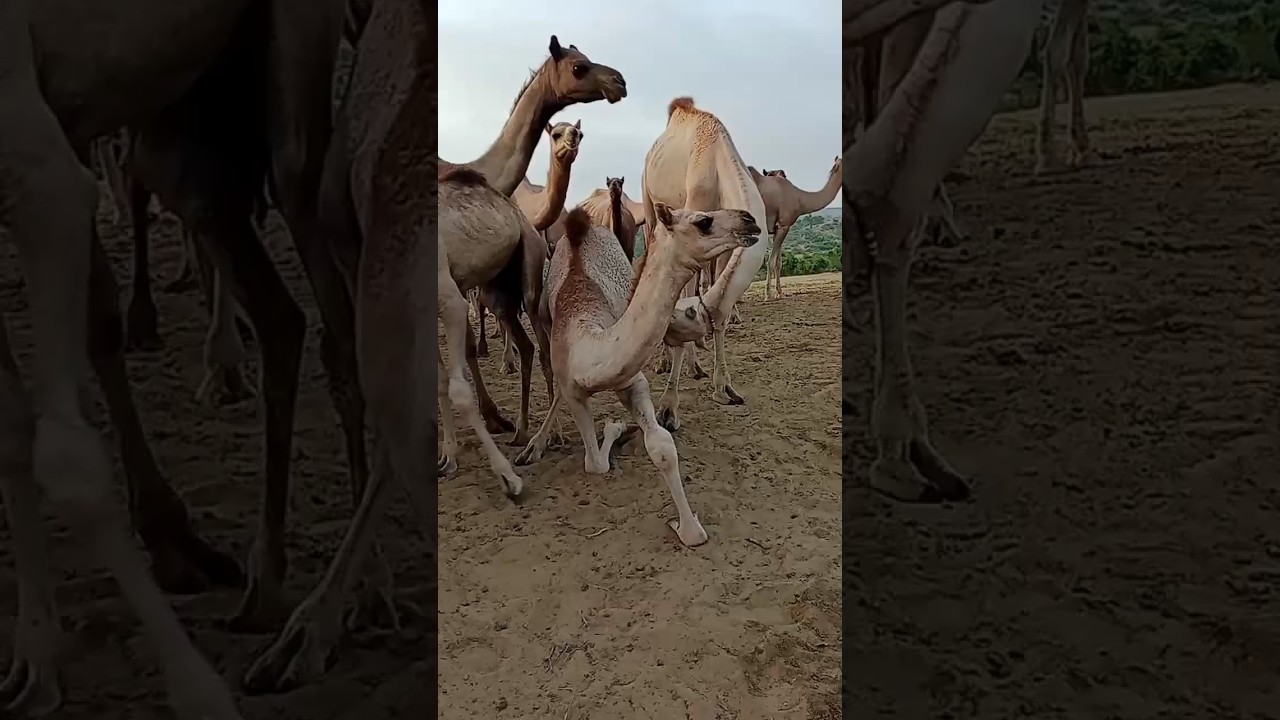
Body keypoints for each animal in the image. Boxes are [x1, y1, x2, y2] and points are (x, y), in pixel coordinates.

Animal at [242, 20, 626, 692]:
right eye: (578, 67)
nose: (618, 81)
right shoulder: (449, 286)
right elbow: (459, 375)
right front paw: (488, 457)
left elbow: (457, 374)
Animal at [514, 204, 762, 547]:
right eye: (704, 221)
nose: (750, 220)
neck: (586, 341)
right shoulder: (574, 389)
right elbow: (595, 463)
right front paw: (614, 426)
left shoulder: (632, 379)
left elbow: (661, 446)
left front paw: (687, 527)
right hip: (544, 321)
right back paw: (533, 446)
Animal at [639, 97, 770, 431]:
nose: (672, 339)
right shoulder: (691, 223)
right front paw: (669, 407)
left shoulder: (727, 242)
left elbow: (719, 300)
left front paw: (724, 388)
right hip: (649, 204)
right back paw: (665, 363)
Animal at [746, 156, 843, 300]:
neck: (799, 198)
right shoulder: (784, 225)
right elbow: (771, 261)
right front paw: (768, 295)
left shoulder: (778, 228)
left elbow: (778, 263)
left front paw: (779, 293)